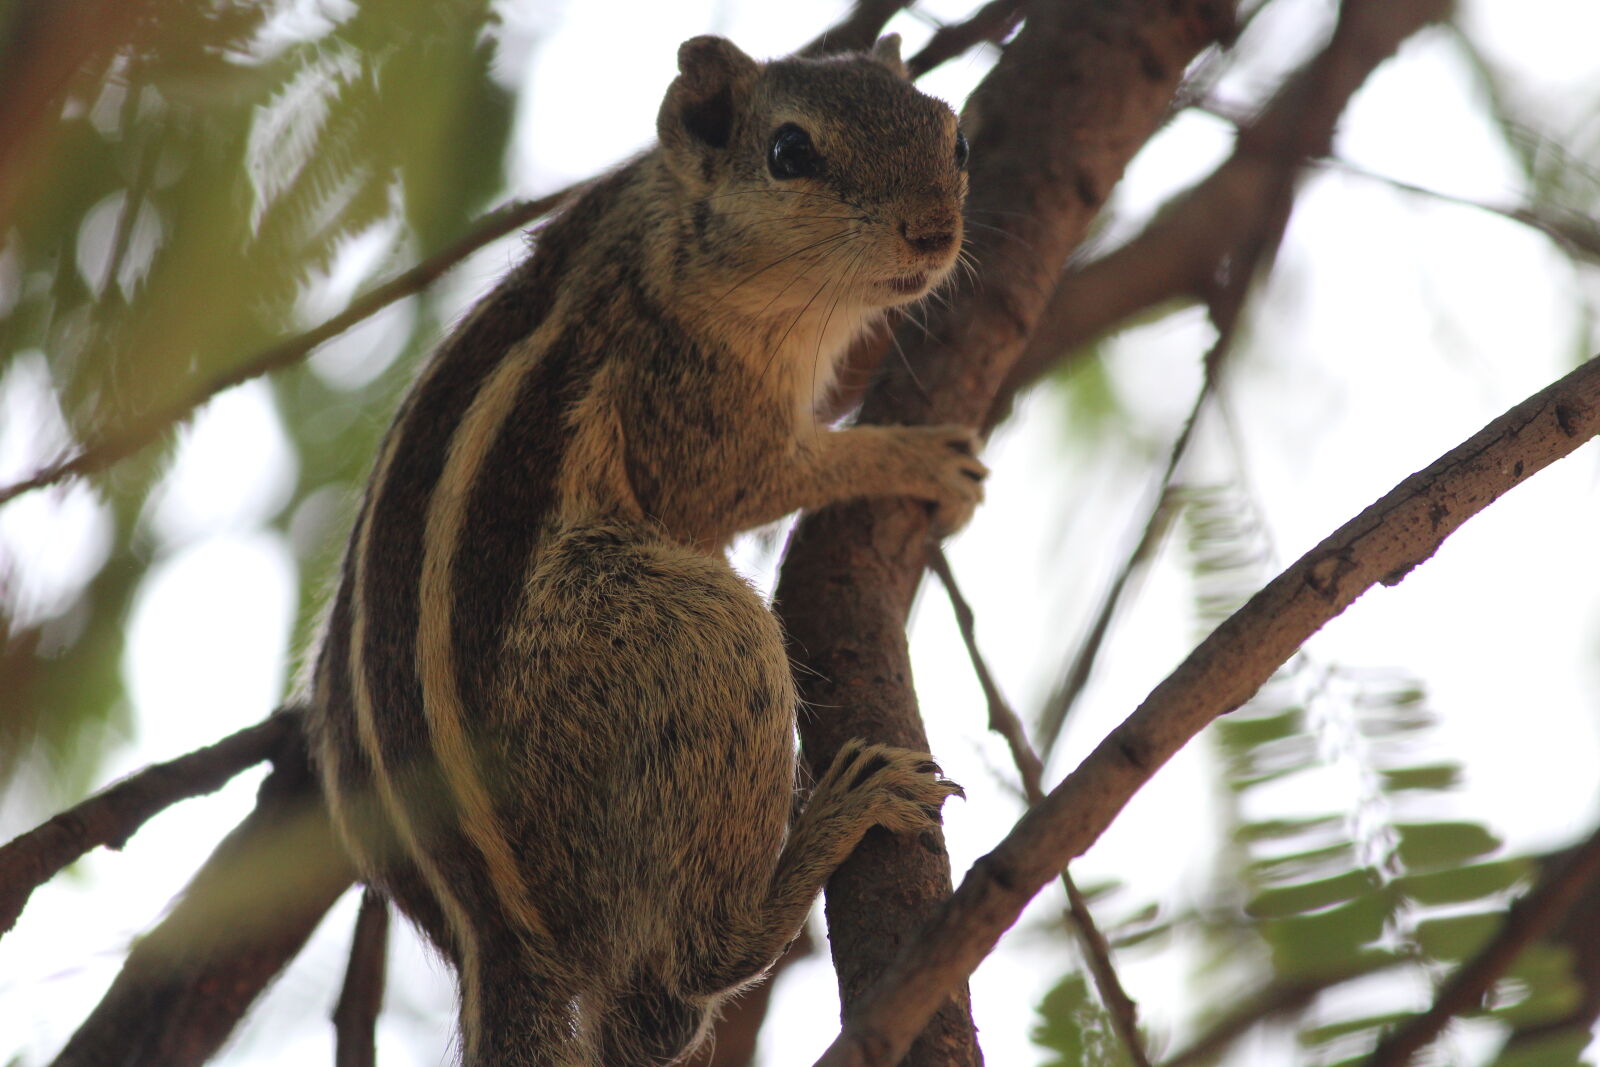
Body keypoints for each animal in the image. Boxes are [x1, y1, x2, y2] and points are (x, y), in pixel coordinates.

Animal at [300, 33, 972, 1067]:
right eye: (789, 153)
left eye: (955, 137)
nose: (935, 231)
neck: (667, 246)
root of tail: (494, 928)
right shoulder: (687, 408)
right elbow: (760, 479)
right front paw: (916, 454)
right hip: (686, 636)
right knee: (693, 958)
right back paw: (834, 824)